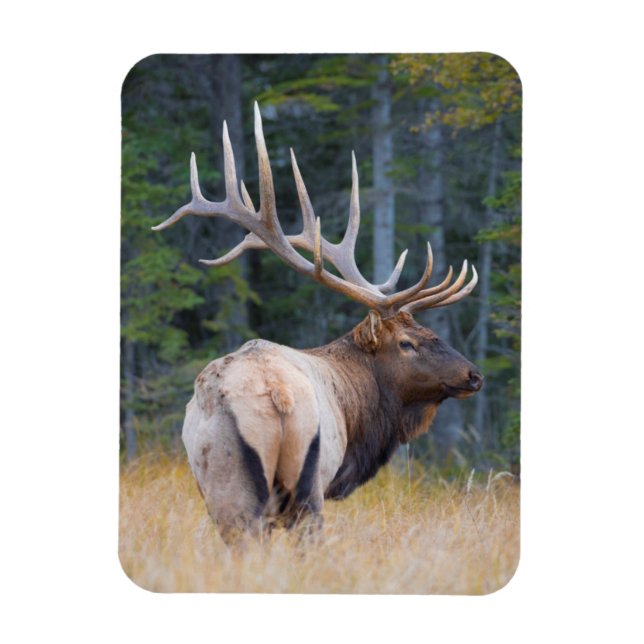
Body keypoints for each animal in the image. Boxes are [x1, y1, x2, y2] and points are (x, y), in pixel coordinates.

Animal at [153, 103, 483, 544]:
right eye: (407, 343)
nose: (473, 374)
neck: (359, 414)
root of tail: (274, 394)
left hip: (231, 486)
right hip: (300, 483)